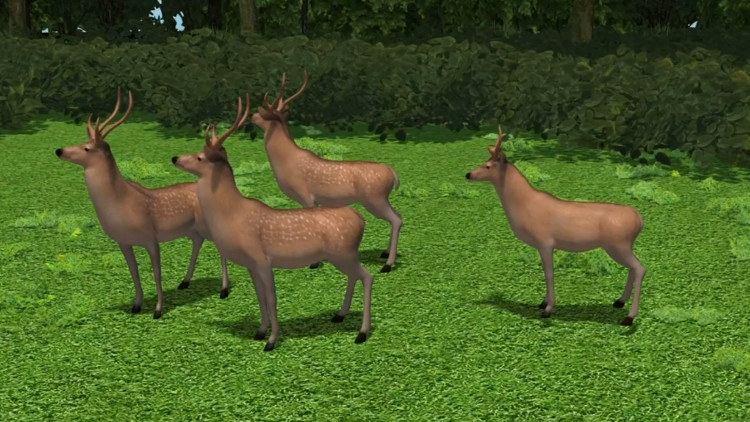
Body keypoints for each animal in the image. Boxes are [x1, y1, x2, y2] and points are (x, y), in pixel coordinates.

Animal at [55, 87, 230, 319]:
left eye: (87, 148)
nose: (59, 150)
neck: (121, 203)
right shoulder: (123, 241)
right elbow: (134, 272)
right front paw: (136, 305)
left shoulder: (150, 236)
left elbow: (157, 273)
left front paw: (158, 310)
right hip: (192, 229)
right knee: (197, 242)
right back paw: (184, 282)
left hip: (207, 224)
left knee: (220, 247)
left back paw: (224, 290)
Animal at [171, 95, 374, 352]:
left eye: (200, 157)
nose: (175, 158)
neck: (232, 215)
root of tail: (361, 220)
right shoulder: (251, 264)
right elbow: (259, 297)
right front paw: (260, 332)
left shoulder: (262, 259)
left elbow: (271, 298)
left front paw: (272, 340)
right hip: (342, 255)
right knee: (355, 276)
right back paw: (339, 315)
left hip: (344, 252)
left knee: (367, 276)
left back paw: (362, 333)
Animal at [250, 70, 402, 273]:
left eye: (264, 115)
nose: (252, 115)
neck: (286, 162)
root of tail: (393, 173)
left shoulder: (306, 195)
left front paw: (314, 263)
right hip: (381, 198)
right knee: (398, 216)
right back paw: (384, 254)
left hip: (374, 197)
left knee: (395, 219)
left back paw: (387, 265)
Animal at [465, 126, 646, 326]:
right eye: (484, 162)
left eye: (488, 166)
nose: (468, 174)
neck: (524, 207)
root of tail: (639, 219)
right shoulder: (541, 245)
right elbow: (546, 272)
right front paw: (543, 303)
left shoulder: (545, 241)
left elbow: (549, 273)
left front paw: (548, 309)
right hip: (622, 246)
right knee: (633, 268)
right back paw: (619, 302)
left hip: (618, 244)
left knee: (640, 268)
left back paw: (629, 317)